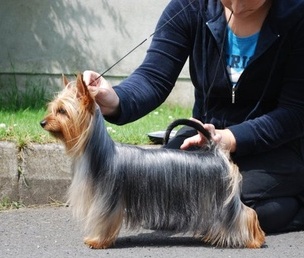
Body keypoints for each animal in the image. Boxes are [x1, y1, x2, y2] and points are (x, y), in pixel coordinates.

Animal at [39, 73, 264, 249]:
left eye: (62, 111)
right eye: (51, 109)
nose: (42, 122)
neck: (99, 152)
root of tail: (214, 152)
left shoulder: (106, 199)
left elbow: (103, 220)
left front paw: (97, 241)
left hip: (222, 195)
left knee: (243, 213)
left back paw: (252, 240)